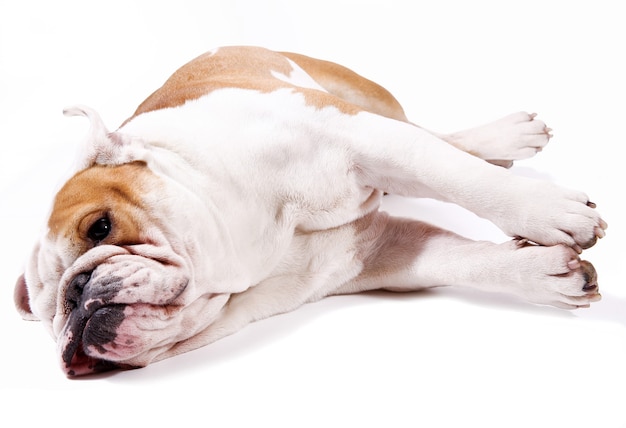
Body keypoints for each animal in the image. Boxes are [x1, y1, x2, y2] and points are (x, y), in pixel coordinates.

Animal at [13, 45, 604, 376]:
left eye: (101, 226)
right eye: (46, 316)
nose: (76, 294)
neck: (241, 251)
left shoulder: (360, 137)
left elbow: (451, 173)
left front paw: (546, 210)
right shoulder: (377, 252)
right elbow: (456, 257)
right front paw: (542, 273)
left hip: (367, 101)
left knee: (437, 138)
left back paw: (504, 137)